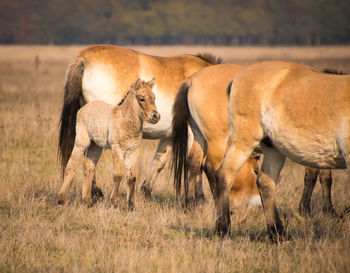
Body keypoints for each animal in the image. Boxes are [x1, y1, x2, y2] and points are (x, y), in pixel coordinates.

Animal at [57, 78, 160, 208]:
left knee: (88, 166)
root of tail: (85, 107)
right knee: (71, 165)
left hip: (95, 146)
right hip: (82, 141)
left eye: (154, 98)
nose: (156, 116)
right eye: (141, 99)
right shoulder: (117, 148)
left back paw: (87, 201)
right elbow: (118, 174)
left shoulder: (133, 150)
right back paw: (61, 199)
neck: (125, 121)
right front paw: (114, 203)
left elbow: (132, 177)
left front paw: (131, 205)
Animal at [171, 62, 262, 206]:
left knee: (194, 162)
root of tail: (191, 81)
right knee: (211, 166)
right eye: (255, 171)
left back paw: (190, 204)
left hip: (199, 135)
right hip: (215, 139)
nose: (258, 202)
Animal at [216, 60, 350, 240]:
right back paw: (223, 230)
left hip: (273, 149)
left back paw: (277, 233)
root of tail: (237, 78)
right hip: (243, 142)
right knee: (225, 175)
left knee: (265, 183)